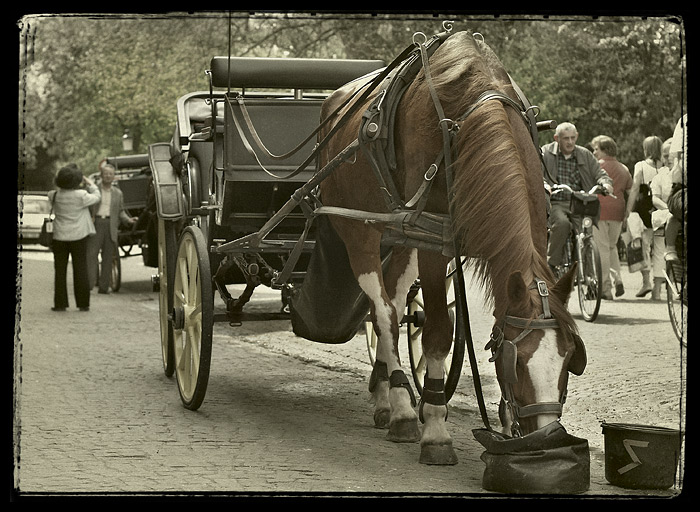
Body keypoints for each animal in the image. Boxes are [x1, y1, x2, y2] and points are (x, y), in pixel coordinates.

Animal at [320, 30, 584, 466]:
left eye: (568, 359)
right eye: (515, 364)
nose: (545, 439)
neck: (472, 110)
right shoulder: (433, 240)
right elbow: (438, 333)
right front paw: (436, 431)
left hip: (401, 237)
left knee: (390, 305)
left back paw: (386, 398)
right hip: (360, 230)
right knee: (385, 313)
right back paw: (403, 408)